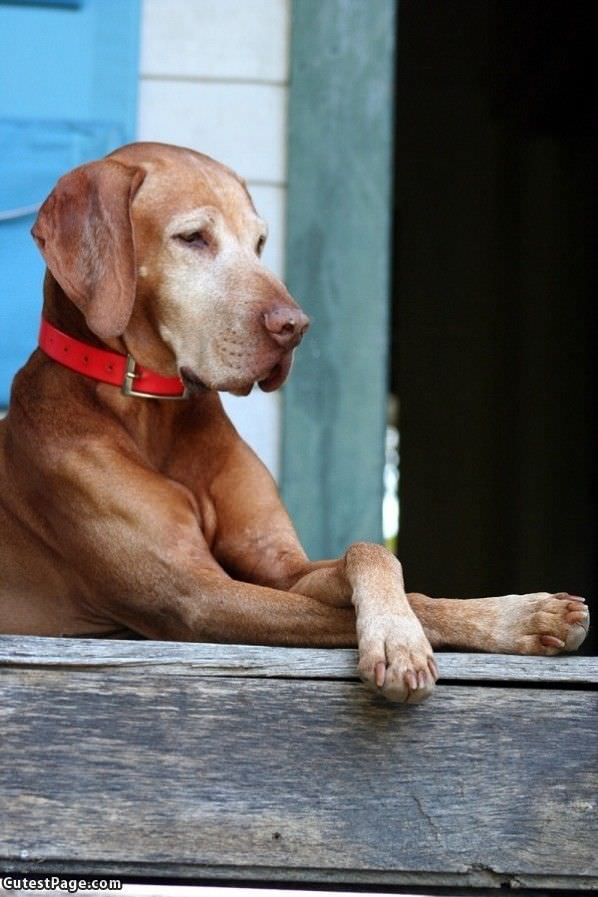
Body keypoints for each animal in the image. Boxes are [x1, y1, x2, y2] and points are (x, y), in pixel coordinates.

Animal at [0, 142, 592, 700]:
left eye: (260, 243)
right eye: (193, 238)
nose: (296, 326)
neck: (154, 412)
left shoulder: (282, 568)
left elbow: (374, 556)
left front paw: (506, 615)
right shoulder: (193, 595)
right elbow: (369, 611)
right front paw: (409, 639)